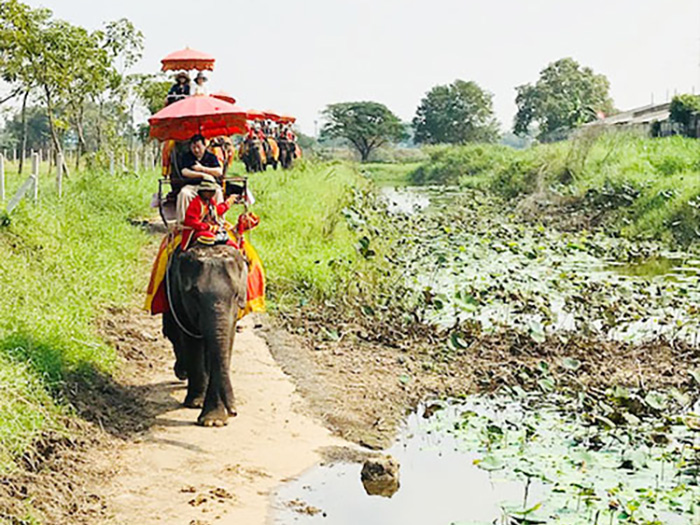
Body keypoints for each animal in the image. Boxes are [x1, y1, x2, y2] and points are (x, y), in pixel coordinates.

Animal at [163, 242, 247, 426]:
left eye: (236, 295)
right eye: (194, 295)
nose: (234, 412)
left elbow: (226, 342)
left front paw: (214, 421)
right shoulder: (178, 294)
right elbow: (190, 339)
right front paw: (196, 404)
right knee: (172, 332)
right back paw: (182, 373)